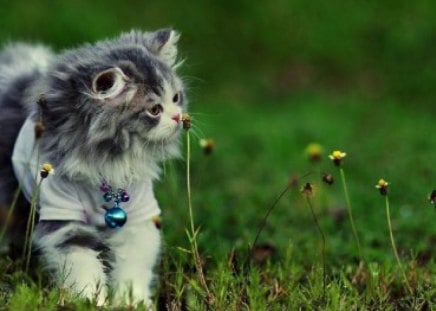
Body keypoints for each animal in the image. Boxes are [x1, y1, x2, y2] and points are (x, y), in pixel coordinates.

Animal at [0, 29, 186, 308]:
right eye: (155, 110)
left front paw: (132, 302)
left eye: (176, 98)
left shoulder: (138, 219)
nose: (178, 117)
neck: (110, 162)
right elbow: (83, 268)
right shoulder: (64, 221)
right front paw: (90, 302)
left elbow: (133, 268)